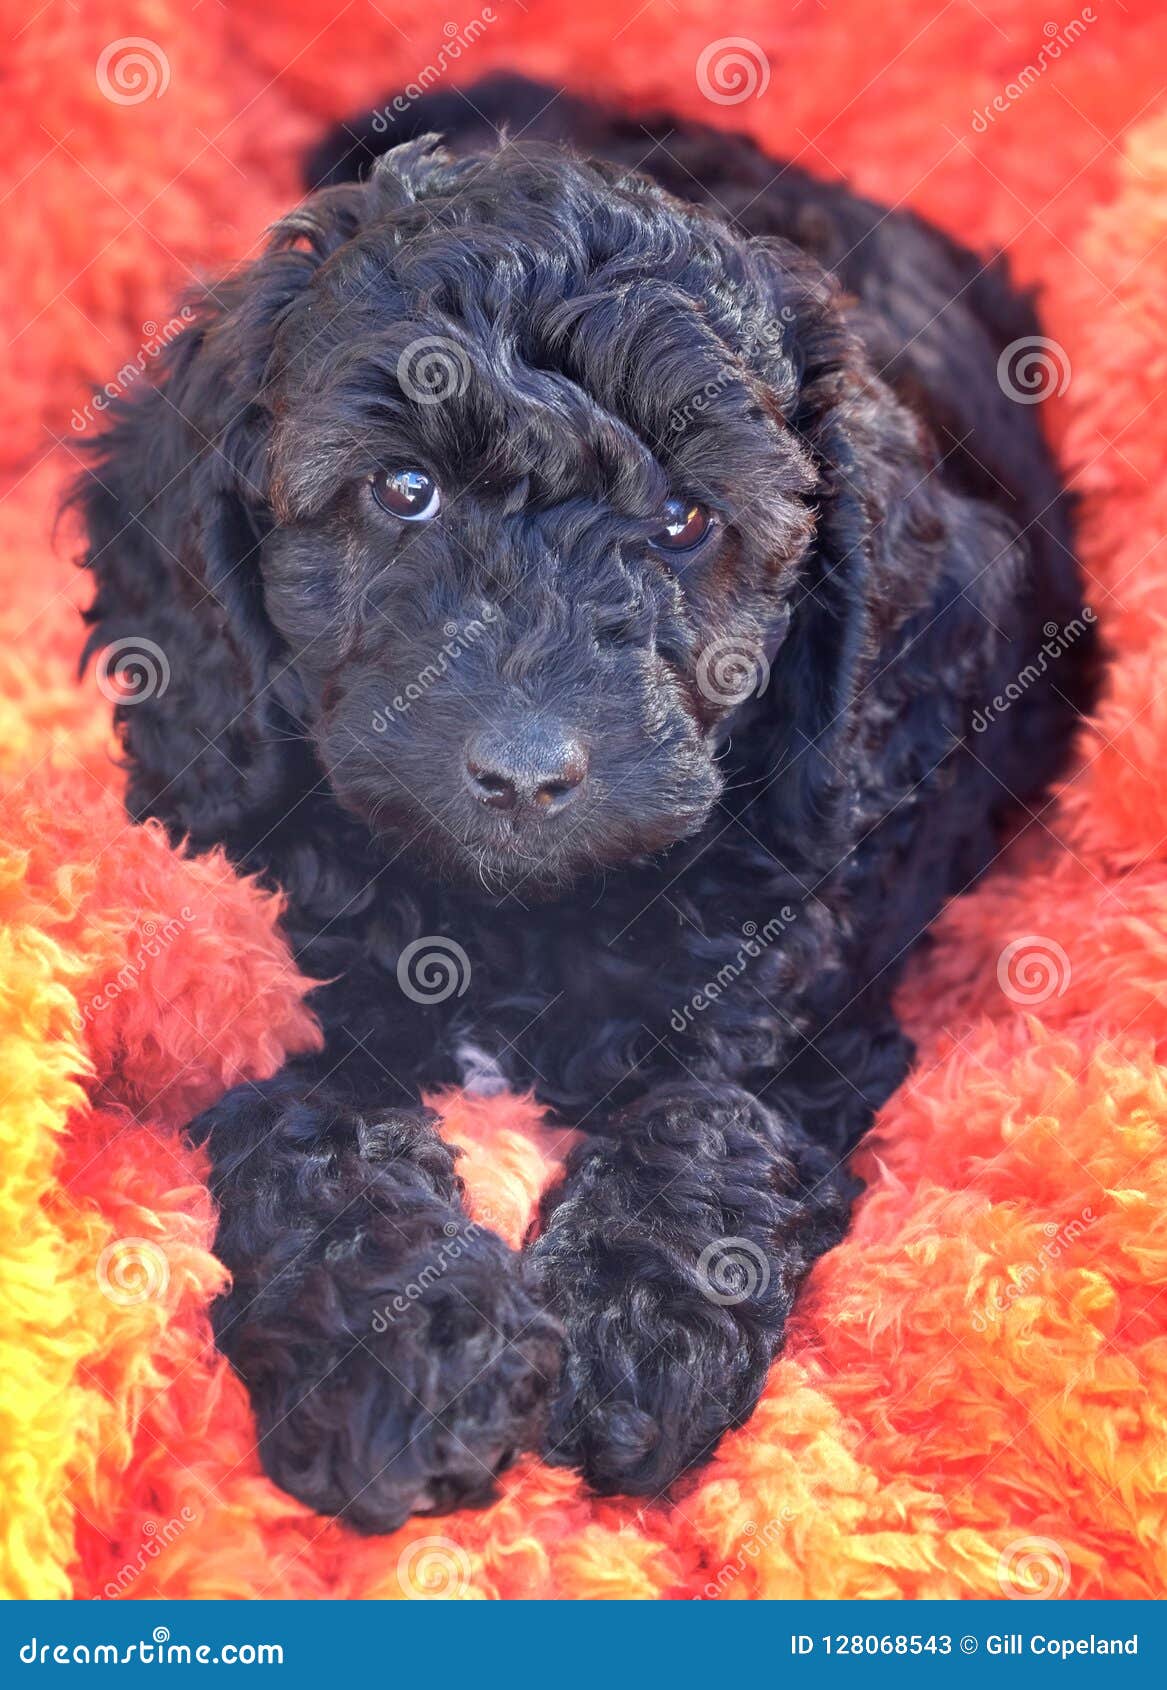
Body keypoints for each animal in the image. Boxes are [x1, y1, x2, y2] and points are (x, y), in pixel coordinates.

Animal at [77, 76, 1101, 1534]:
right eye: (404, 491)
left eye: (683, 520)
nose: (521, 770)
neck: (510, 915)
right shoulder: (261, 968)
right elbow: (310, 1130)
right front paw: (405, 1361)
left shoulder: (789, 993)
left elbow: (707, 1115)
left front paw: (636, 1328)